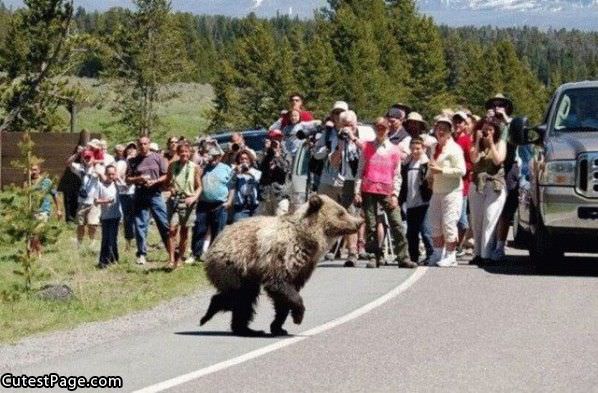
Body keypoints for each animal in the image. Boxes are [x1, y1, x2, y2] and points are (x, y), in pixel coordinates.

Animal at [199, 193, 364, 334]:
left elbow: (285, 298)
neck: (308, 239)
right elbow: (280, 285)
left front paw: (278, 326)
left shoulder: (303, 267)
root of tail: (217, 239)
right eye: (341, 213)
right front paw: (298, 317)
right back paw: (210, 314)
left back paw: (245, 328)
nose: (359, 222)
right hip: (234, 265)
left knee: (244, 298)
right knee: (240, 295)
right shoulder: (282, 257)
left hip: (245, 272)